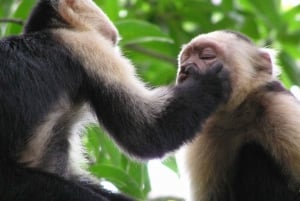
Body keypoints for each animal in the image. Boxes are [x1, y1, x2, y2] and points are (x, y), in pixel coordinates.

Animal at [177, 29, 300, 201]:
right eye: (184, 60)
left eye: (207, 56)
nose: (185, 69)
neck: (238, 114)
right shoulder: (204, 135)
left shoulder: (280, 108)